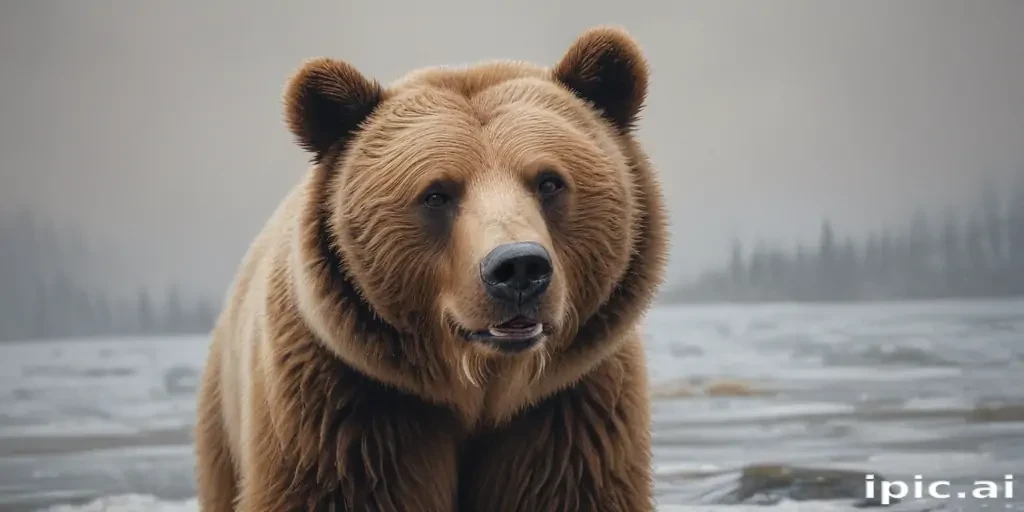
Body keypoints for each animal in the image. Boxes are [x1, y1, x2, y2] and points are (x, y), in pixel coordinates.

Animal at [194, 25, 668, 512]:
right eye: (437, 194)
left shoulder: (570, 413)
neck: (480, 387)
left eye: (550, 181)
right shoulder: (346, 411)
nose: (518, 267)